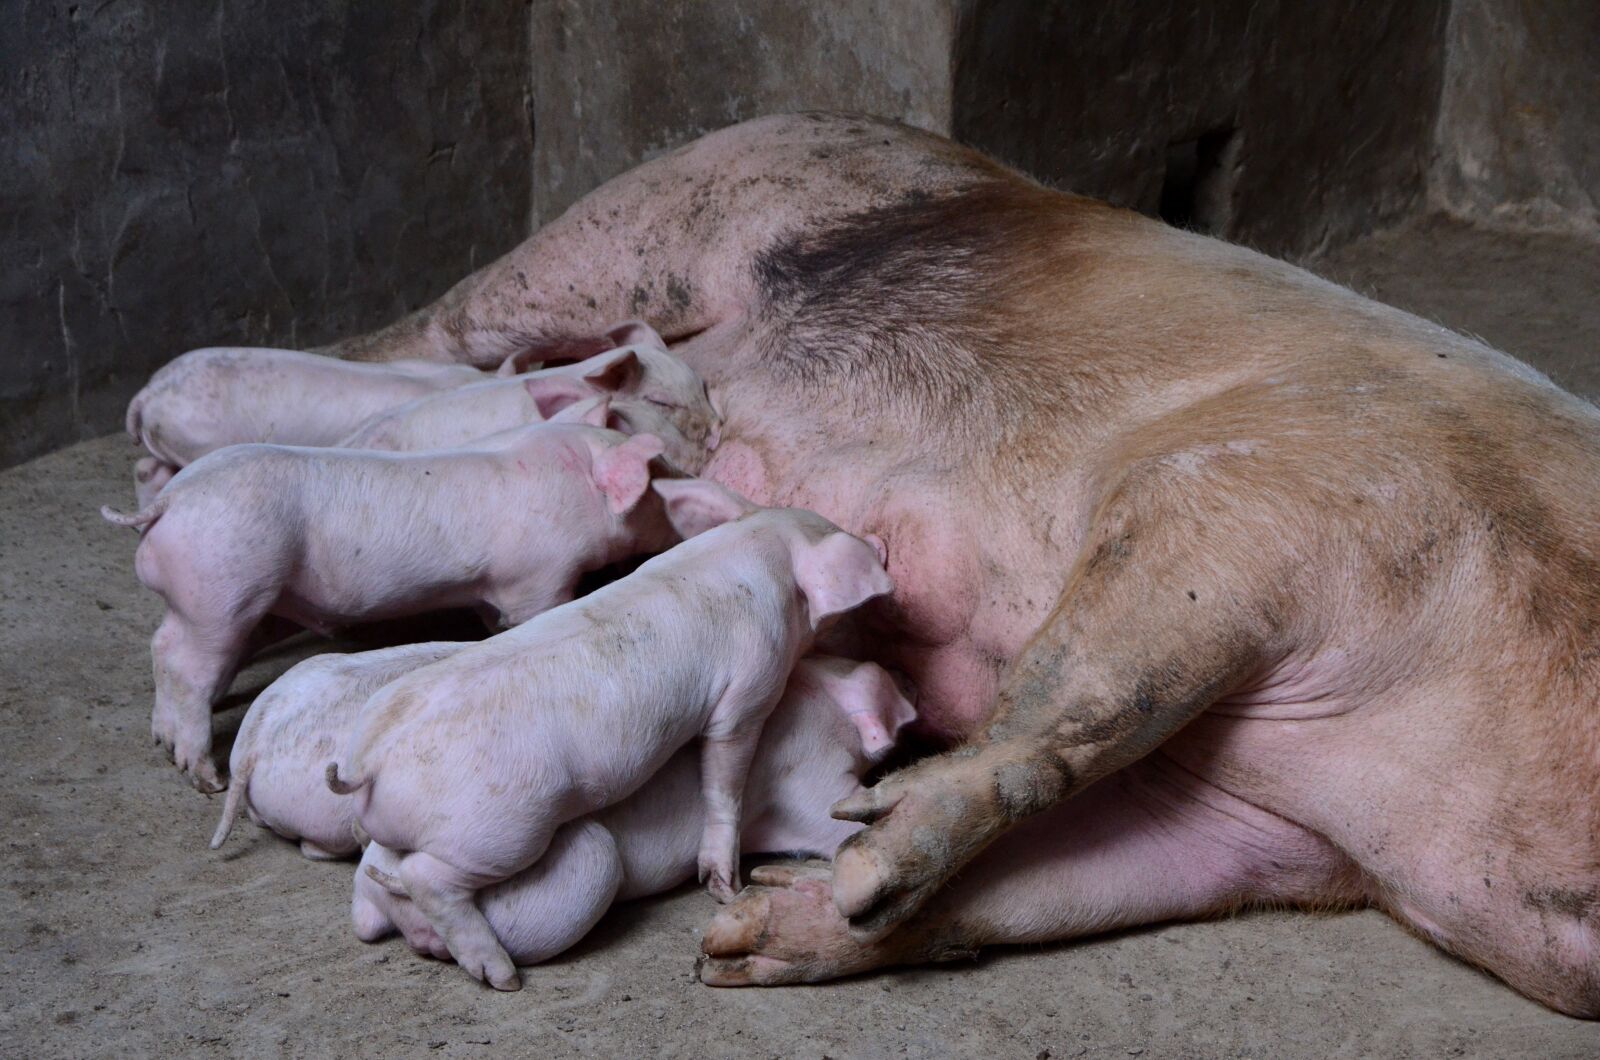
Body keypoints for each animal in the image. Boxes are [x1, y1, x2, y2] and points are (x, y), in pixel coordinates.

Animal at [102, 420, 672, 792]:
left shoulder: (493, 588)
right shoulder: (537, 578)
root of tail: (170, 501)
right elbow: (535, 616)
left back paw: (162, 740)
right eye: (656, 490)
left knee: (162, 647)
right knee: (186, 666)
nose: (676, 530)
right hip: (224, 590)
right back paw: (206, 777)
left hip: (205, 598)